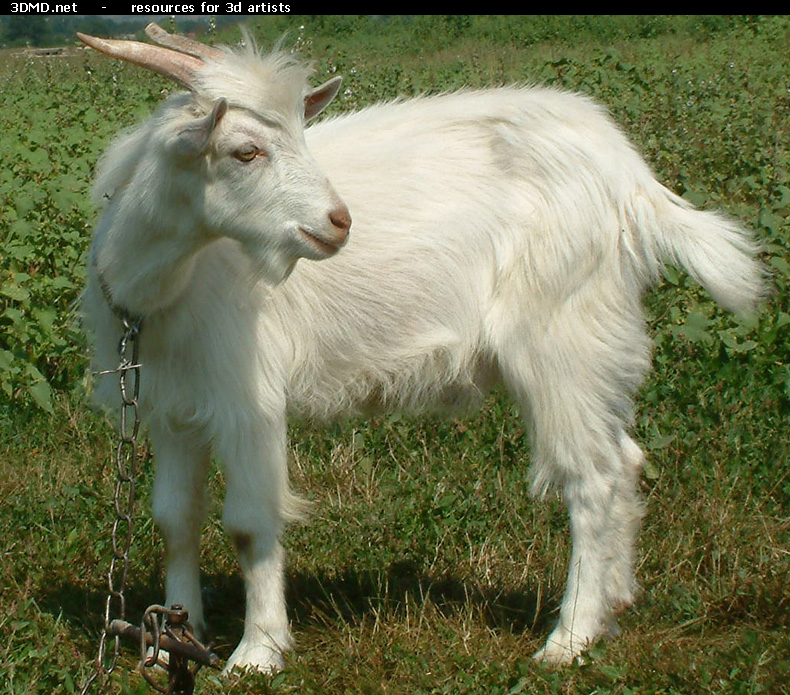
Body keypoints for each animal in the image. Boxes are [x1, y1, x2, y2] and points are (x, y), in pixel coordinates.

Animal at [79, 24, 760, 672]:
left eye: (301, 134)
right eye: (245, 150)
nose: (338, 222)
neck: (162, 289)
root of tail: (629, 177)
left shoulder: (248, 398)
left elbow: (249, 524)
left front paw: (258, 654)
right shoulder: (170, 405)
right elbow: (175, 519)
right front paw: (171, 643)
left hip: (562, 339)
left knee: (592, 477)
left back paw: (568, 640)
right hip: (594, 346)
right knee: (625, 459)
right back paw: (611, 608)